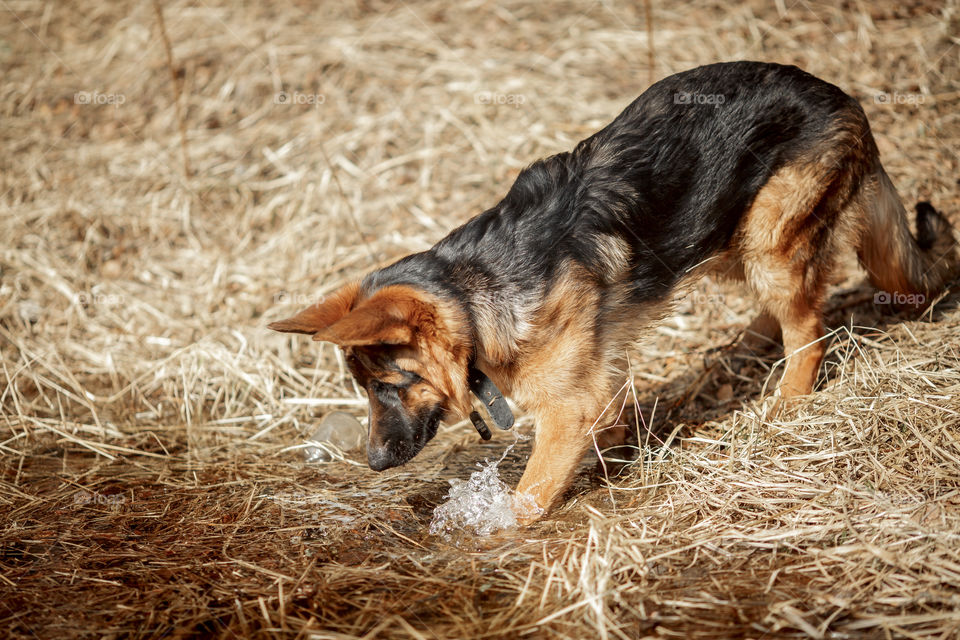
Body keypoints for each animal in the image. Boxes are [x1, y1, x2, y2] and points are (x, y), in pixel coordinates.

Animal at [268, 60, 952, 524]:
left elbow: (526, 499)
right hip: (726, 238)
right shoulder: (591, 385)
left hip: (769, 241)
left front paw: (483, 537)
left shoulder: (568, 411)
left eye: (390, 386)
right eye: (366, 391)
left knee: (809, 327)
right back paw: (749, 348)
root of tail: (843, 98)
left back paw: (788, 400)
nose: (375, 464)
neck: (474, 292)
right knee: (788, 312)